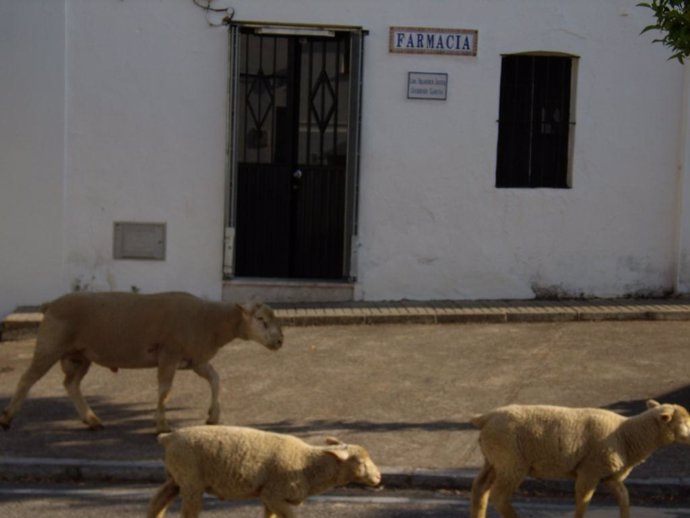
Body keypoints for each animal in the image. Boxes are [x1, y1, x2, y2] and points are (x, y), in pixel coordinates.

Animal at [0, 292, 284, 434]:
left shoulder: (195, 360)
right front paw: (161, 425)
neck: (210, 320)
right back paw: (7, 418)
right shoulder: (169, 354)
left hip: (80, 355)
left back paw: (92, 420)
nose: (280, 341)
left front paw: (213, 416)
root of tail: (50, 305)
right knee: (27, 379)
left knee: (71, 384)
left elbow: (215, 378)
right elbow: (165, 390)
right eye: (261, 319)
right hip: (50, 345)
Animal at [146, 426, 382, 518]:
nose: (379, 477)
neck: (308, 464)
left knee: (158, 500)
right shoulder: (274, 494)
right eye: (360, 461)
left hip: (177, 477)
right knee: (187, 511)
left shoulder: (269, 496)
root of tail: (168, 437)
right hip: (191, 480)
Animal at [470, 402, 688, 518]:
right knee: (499, 496)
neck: (627, 434)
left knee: (480, 489)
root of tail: (485, 418)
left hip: (494, 460)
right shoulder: (589, 471)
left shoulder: (609, 475)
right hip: (511, 462)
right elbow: (583, 502)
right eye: (684, 422)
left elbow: (624, 497)